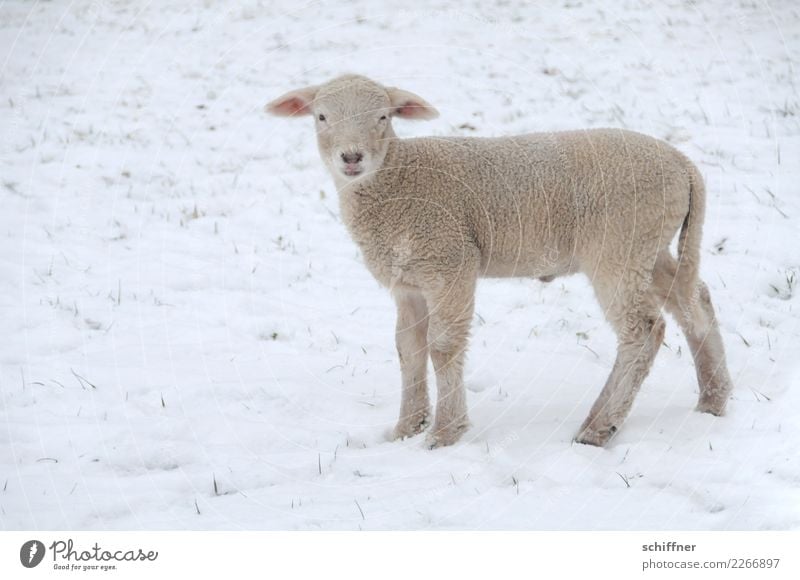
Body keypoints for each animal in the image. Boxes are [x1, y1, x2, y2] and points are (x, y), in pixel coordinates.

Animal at [266, 73, 736, 448]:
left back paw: (599, 428)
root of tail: (683, 164)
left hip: (620, 248)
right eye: (320, 117)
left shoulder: (450, 263)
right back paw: (712, 399)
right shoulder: (408, 283)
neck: (398, 179)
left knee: (644, 329)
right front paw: (406, 429)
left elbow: (443, 346)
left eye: (383, 117)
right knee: (694, 300)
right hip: (649, 247)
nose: (351, 157)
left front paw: (444, 434)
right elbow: (408, 349)